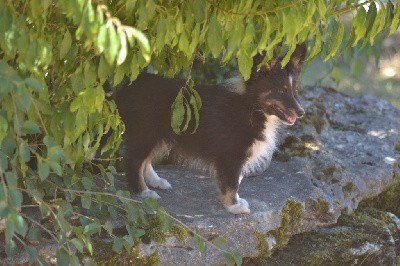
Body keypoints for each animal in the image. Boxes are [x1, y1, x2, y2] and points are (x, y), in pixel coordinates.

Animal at [115, 43, 306, 214]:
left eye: (295, 90)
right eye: (281, 91)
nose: (301, 112)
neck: (252, 106)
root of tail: (128, 88)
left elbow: (236, 179)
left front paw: (235, 201)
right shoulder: (230, 155)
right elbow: (231, 181)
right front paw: (234, 207)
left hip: (159, 136)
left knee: (145, 161)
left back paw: (156, 181)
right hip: (146, 133)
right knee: (134, 162)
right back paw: (143, 192)